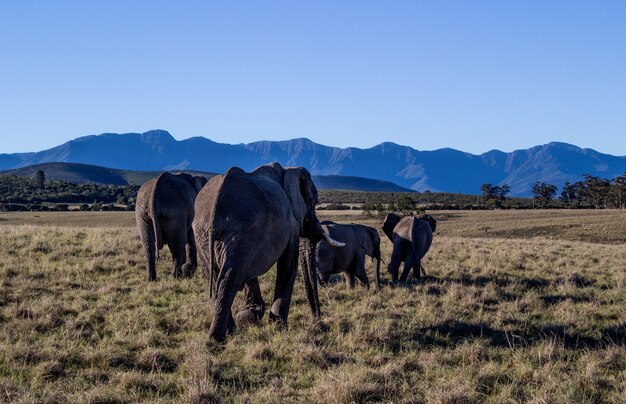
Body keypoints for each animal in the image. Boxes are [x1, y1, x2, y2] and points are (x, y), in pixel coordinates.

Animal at [193, 163, 344, 342]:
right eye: (314, 203)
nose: (317, 320)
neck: (289, 170)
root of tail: (216, 204)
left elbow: (251, 272)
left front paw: (250, 316)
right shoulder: (290, 221)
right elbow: (288, 266)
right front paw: (278, 326)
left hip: (203, 234)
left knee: (217, 277)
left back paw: (230, 331)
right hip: (242, 230)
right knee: (229, 278)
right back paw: (217, 339)